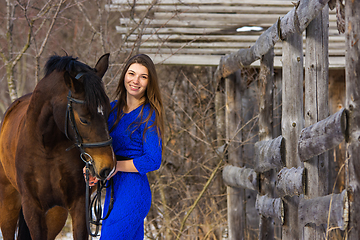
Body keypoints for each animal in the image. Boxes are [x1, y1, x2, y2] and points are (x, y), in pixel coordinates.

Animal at [0, 53, 115, 239]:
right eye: (83, 119)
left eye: (108, 112)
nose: (108, 167)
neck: (47, 148)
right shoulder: (32, 208)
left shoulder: (78, 205)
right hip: (8, 202)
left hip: (56, 214)